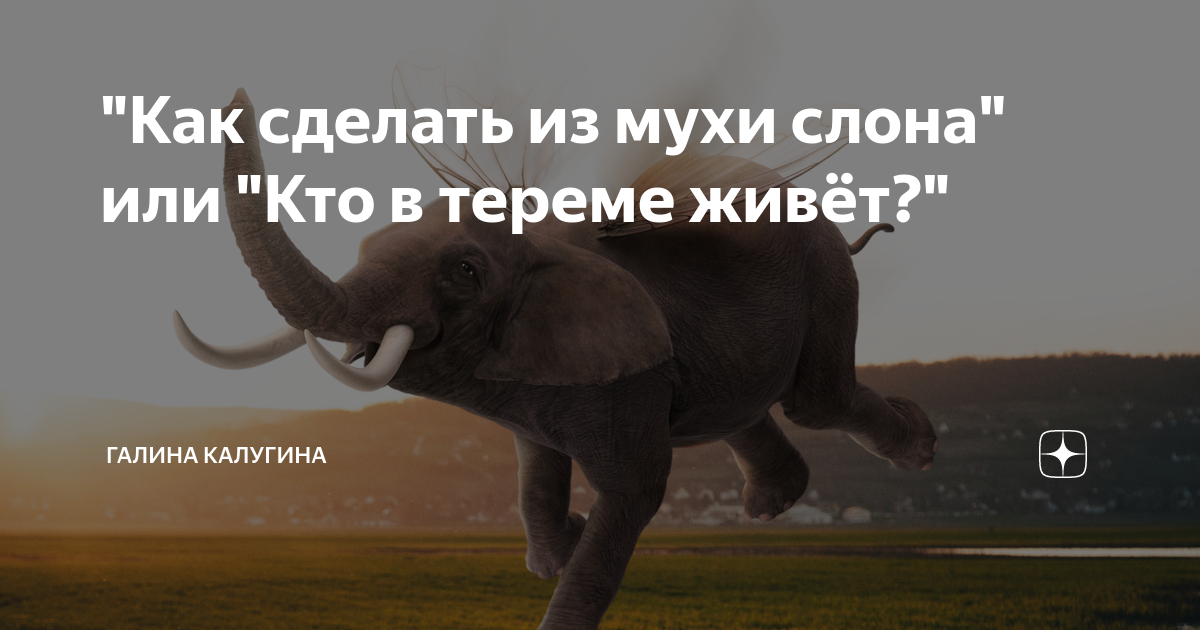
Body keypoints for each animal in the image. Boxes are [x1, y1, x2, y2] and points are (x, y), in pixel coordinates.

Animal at [173, 88, 938, 630]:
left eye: (465, 271)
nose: (235, 99)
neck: (539, 247)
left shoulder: (624, 374)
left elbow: (635, 489)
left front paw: (573, 560)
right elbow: (534, 467)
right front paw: (559, 546)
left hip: (827, 275)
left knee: (816, 399)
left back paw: (921, 449)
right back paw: (773, 503)